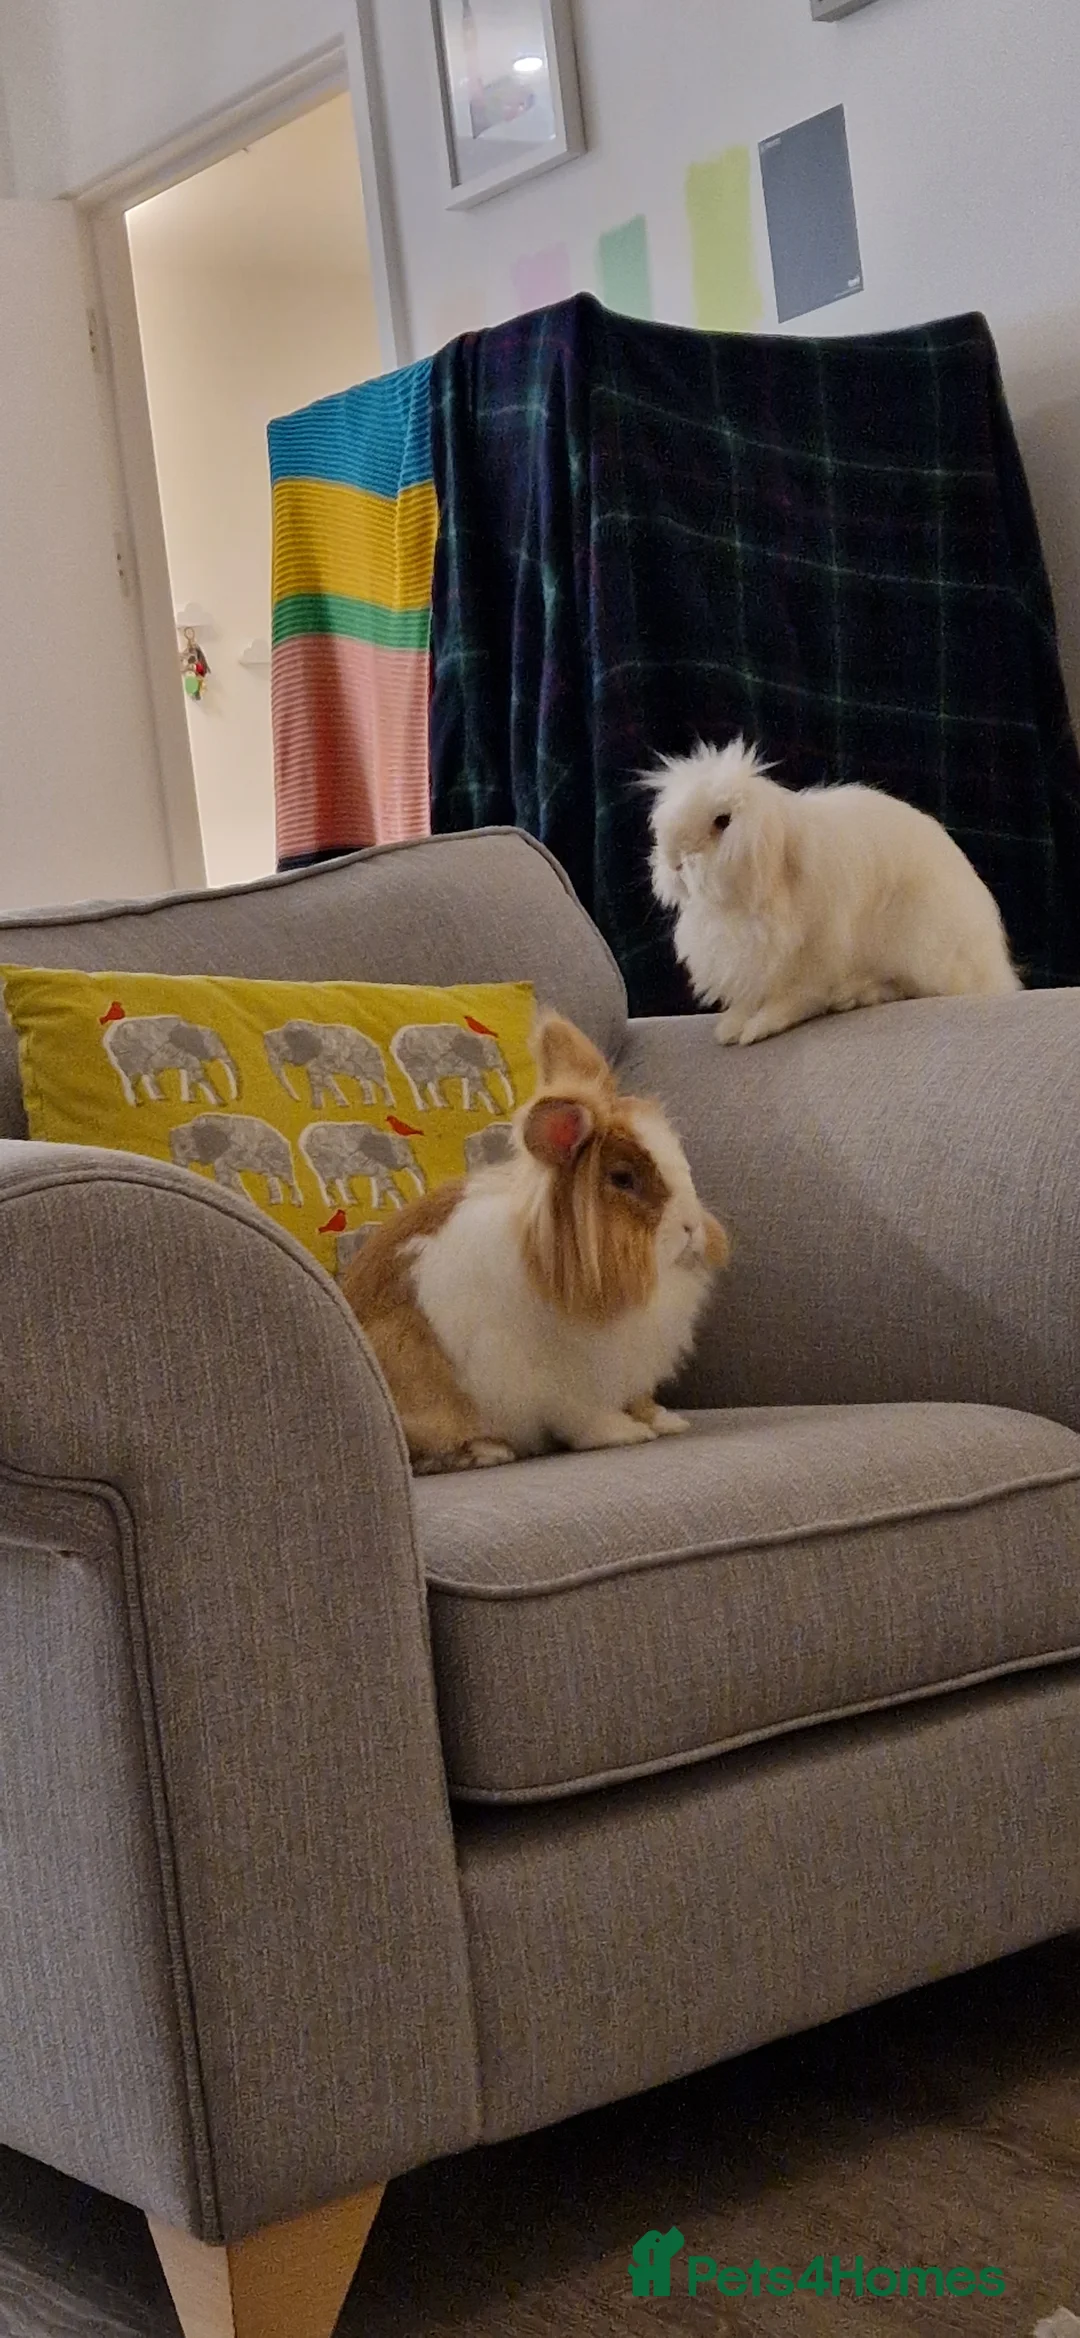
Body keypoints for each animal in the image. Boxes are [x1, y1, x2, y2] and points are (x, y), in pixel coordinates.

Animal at [341, 1010, 729, 1475]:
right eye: (622, 1179)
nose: (692, 1228)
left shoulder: (630, 1363)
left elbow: (639, 1398)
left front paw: (666, 1421)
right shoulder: (562, 1383)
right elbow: (586, 1417)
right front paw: (625, 1433)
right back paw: (490, 1450)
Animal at [647, 736, 1021, 1046]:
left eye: (722, 821)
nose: (674, 861)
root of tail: (994, 970)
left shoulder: (810, 958)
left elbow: (793, 1000)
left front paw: (756, 1029)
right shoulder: (752, 965)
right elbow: (751, 999)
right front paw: (730, 1028)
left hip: (922, 945)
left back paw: (852, 995)